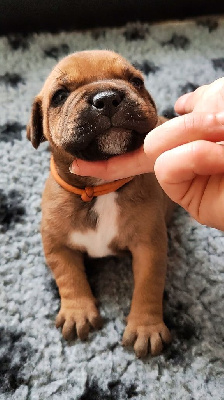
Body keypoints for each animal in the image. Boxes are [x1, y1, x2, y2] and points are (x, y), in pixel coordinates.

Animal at [26, 48, 173, 358]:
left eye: (136, 81)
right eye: (59, 95)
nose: (106, 98)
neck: (99, 189)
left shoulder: (150, 247)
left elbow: (148, 285)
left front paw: (146, 328)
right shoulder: (56, 244)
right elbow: (68, 277)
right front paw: (77, 312)